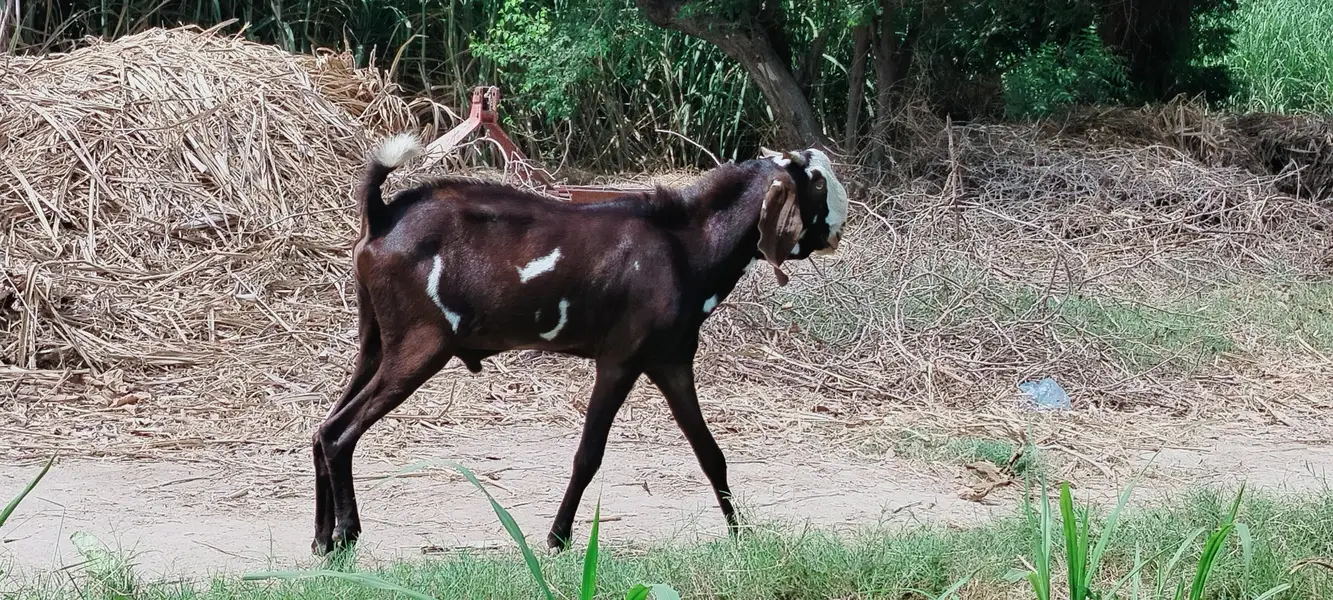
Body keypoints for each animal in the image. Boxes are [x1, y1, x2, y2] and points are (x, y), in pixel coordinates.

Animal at [311, 133, 849, 555]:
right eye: (817, 183)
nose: (840, 228)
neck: (685, 245)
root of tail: (383, 214)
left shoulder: (672, 361)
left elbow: (709, 452)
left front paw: (742, 535)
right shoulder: (620, 359)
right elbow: (588, 454)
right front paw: (559, 538)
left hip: (376, 342)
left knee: (323, 428)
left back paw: (322, 540)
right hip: (420, 346)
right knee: (340, 431)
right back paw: (348, 535)